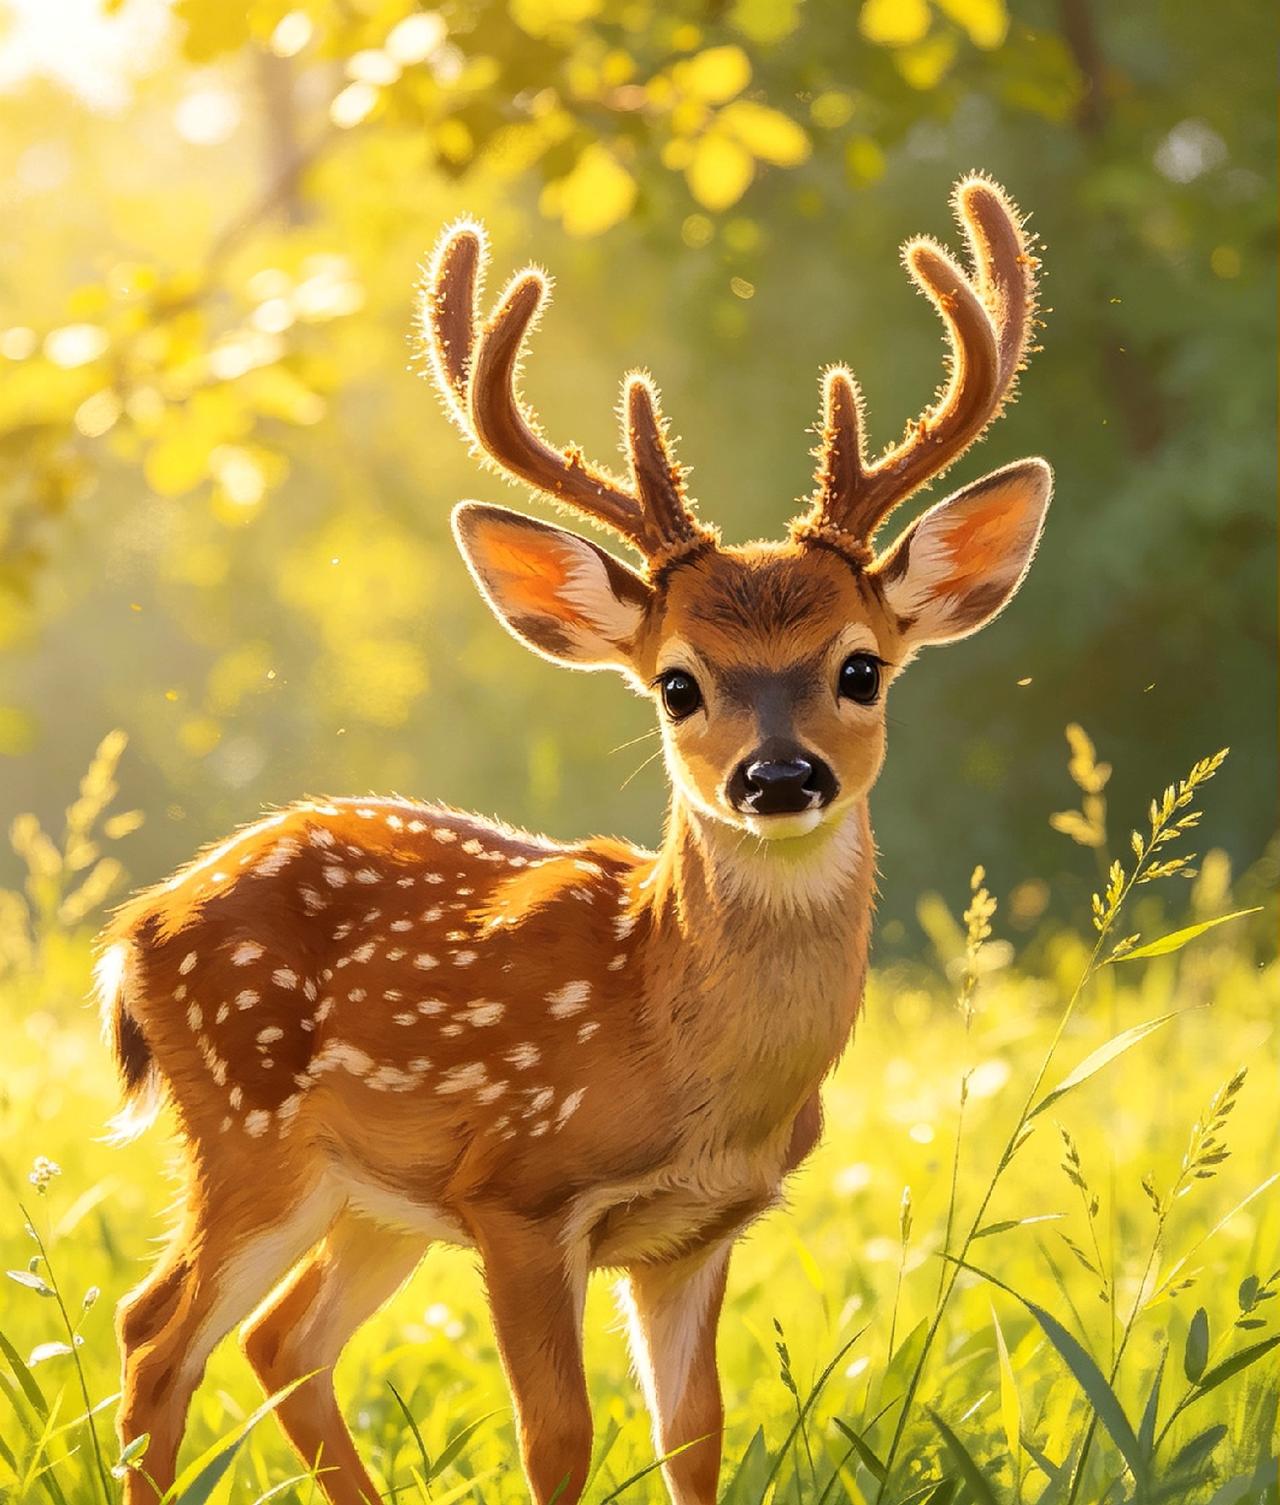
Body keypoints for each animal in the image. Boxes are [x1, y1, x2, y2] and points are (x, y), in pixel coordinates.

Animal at [96, 173, 1050, 1505]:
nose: (778, 776)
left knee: (279, 1339)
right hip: (246, 1134)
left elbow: (693, 1434)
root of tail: (136, 925)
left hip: (367, 1194)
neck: (676, 1054)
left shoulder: (695, 1229)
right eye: (676, 683)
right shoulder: (518, 1194)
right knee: (157, 1332)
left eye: (858, 666)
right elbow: (558, 1437)